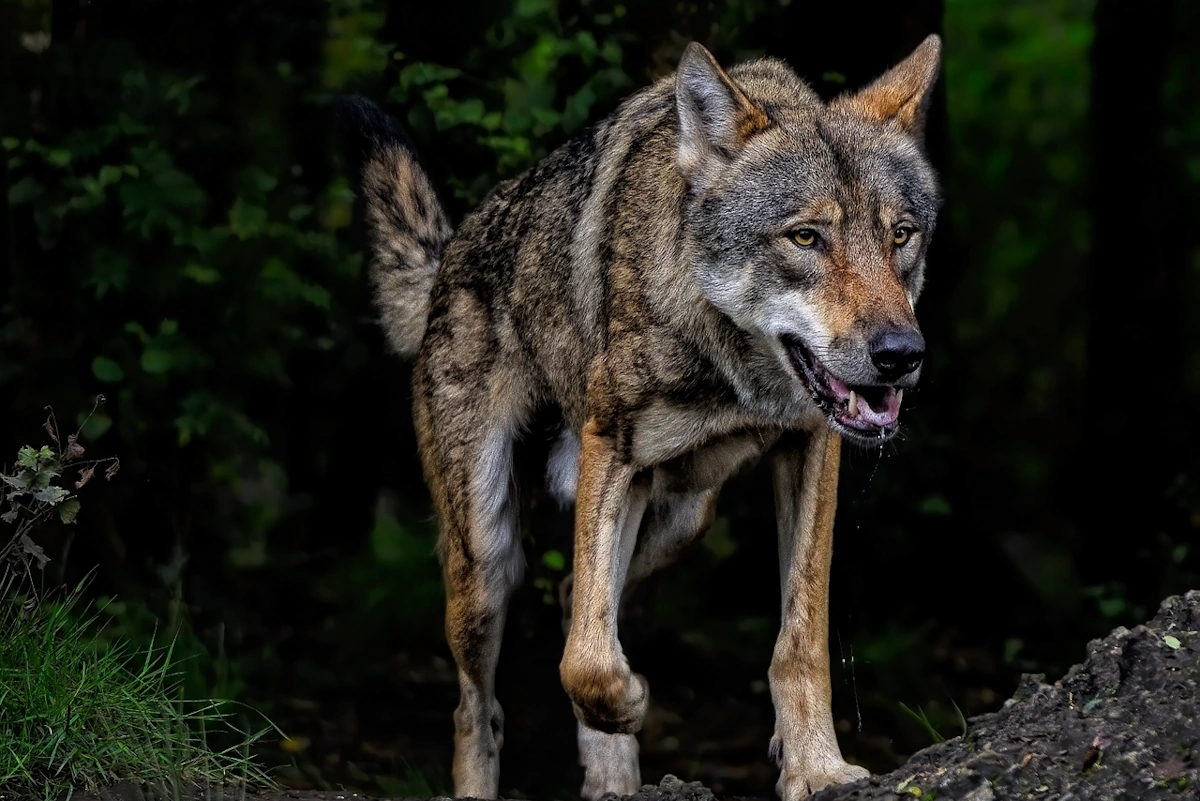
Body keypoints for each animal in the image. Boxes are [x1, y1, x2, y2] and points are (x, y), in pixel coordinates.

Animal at [338, 33, 942, 801]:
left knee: (579, 597)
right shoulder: (612, 448)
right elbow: (587, 663)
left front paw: (815, 766)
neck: (732, 367)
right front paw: (630, 701)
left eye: (901, 235)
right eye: (806, 238)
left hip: (685, 515)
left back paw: (613, 774)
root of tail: (451, 255)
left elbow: (798, 639)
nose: (901, 355)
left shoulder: (811, 449)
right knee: (480, 705)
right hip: (486, 556)